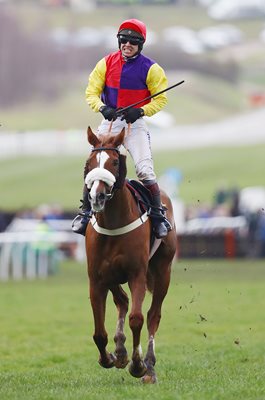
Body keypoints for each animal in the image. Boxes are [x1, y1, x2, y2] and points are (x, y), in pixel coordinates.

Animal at [83, 126, 176, 382]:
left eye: (114, 162)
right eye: (89, 163)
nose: (97, 196)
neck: (113, 223)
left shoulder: (137, 274)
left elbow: (138, 318)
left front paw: (138, 364)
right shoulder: (96, 278)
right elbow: (98, 332)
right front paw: (110, 357)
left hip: (163, 271)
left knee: (153, 315)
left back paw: (149, 367)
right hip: (112, 276)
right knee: (122, 301)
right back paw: (121, 349)